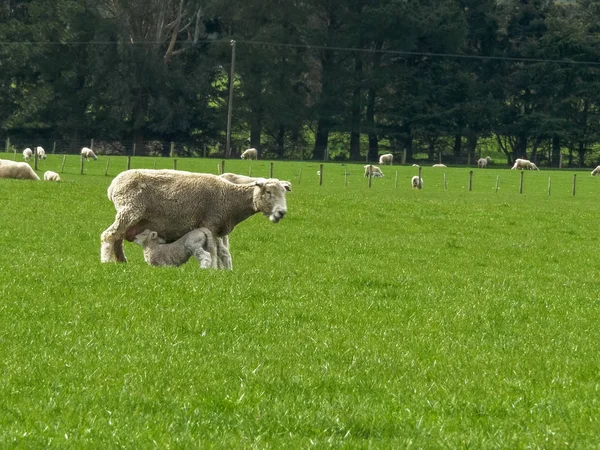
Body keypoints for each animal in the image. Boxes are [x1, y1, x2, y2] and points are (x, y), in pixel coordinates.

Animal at [101, 171, 290, 266]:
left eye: (284, 193)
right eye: (268, 192)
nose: (282, 212)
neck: (230, 198)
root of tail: (113, 185)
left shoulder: (220, 228)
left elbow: (224, 253)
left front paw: (226, 272)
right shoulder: (211, 223)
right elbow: (216, 251)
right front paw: (215, 270)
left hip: (130, 214)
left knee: (118, 237)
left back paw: (122, 262)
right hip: (130, 209)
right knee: (109, 236)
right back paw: (106, 262)